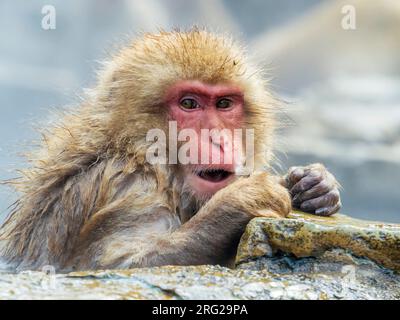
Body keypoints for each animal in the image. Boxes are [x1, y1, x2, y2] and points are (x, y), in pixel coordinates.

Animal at [0, 30, 340, 272]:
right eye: (189, 103)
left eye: (224, 103)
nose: (218, 139)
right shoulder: (130, 189)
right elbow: (117, 264)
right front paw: (246, 199)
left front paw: (313, 185)